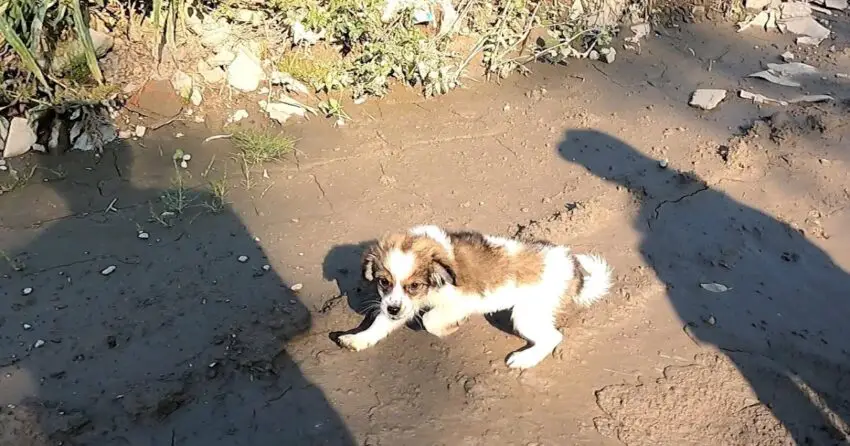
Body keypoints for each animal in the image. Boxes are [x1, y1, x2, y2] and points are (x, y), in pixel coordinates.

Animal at [336, 225, 608, 368]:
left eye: (414, 285)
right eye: (384, 282)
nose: (393, 310)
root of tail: (573, 265)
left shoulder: (461, 301)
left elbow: (431, 321)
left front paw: (451, 327)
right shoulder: (399, 304)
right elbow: (380, 323)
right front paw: (358, 339)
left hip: (527, 314)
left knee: (553, 337)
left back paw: (525, 359)